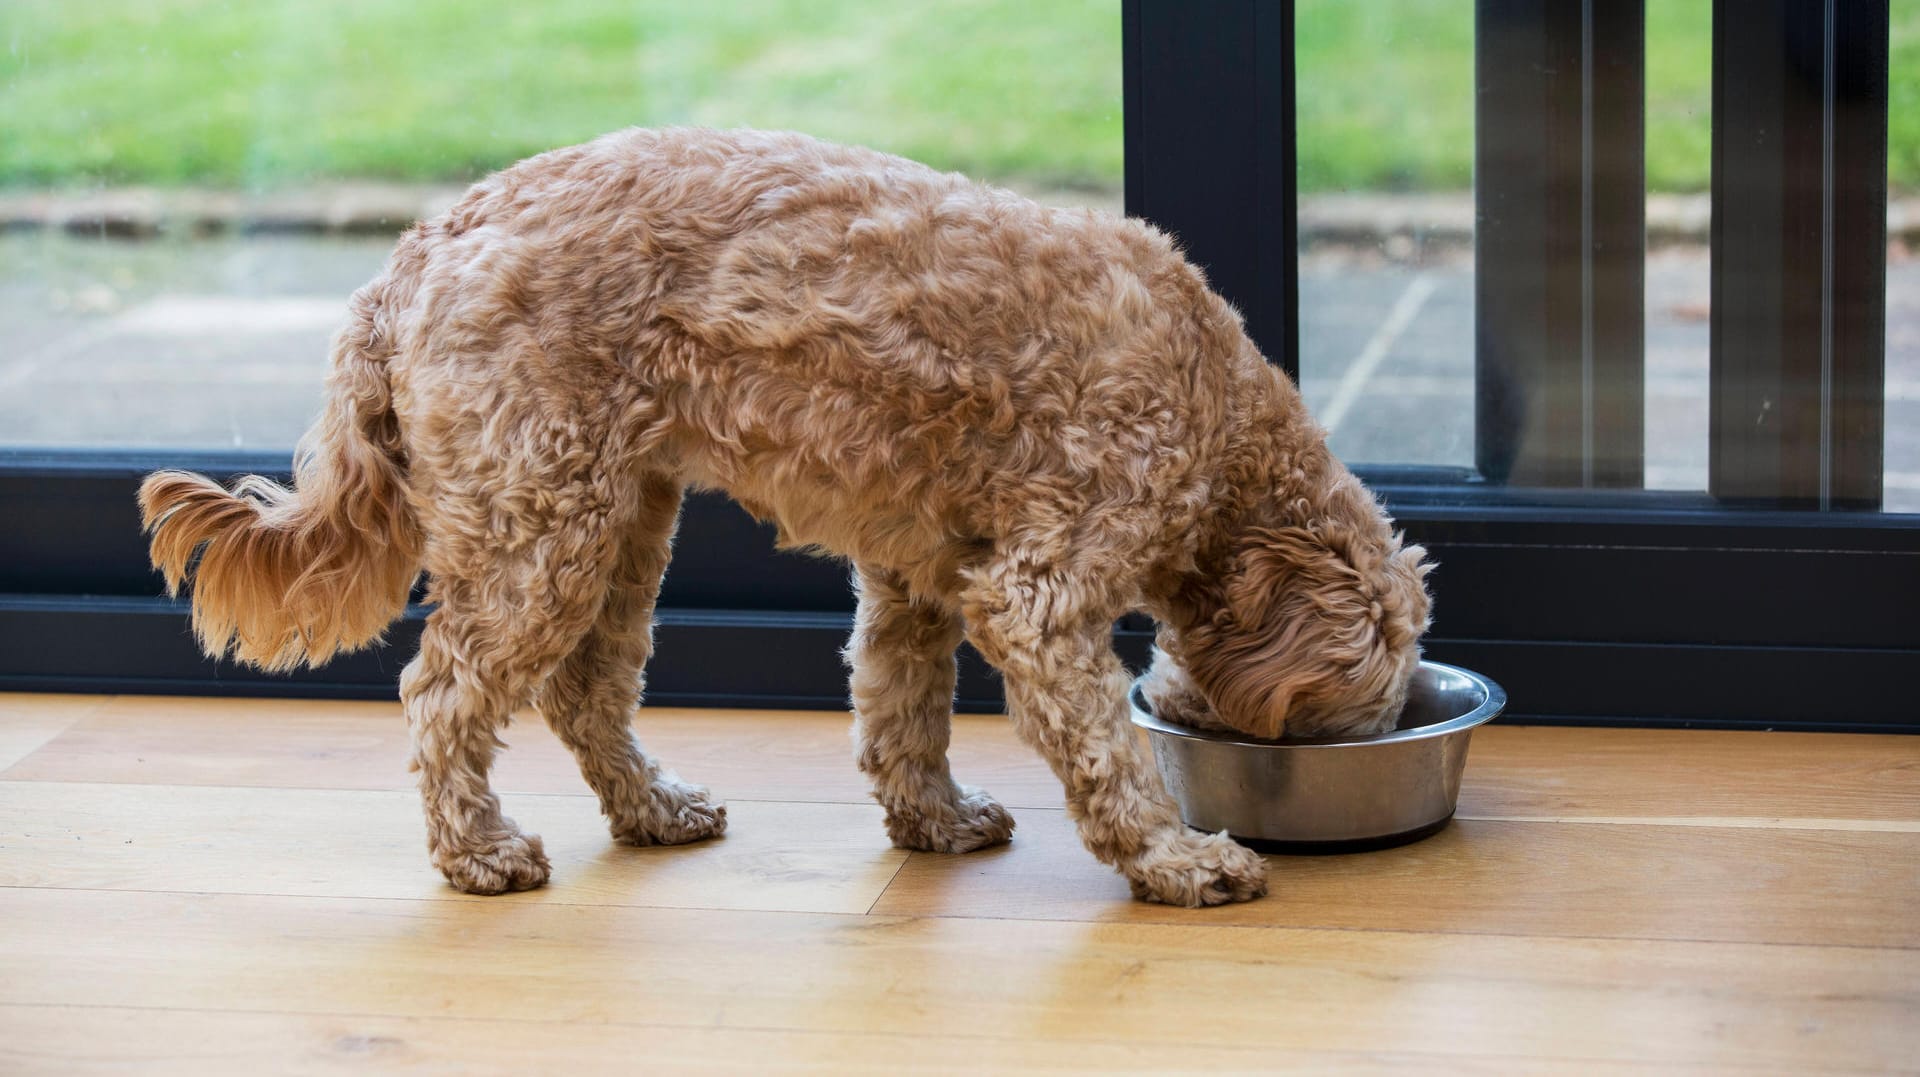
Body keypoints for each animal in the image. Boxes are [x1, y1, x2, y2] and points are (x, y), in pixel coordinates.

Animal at [142, 125, 1436, 902]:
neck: (1221, 415)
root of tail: (415, 253)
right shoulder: (1039, 593)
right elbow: (1108, 753)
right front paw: (1177, 858)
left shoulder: (921, 576)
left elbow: (902, 710)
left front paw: (934, 819)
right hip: (539, 528)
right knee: (444, 691)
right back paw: (479, 849)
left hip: (618, 516)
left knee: (583, 689)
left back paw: (652, 808)